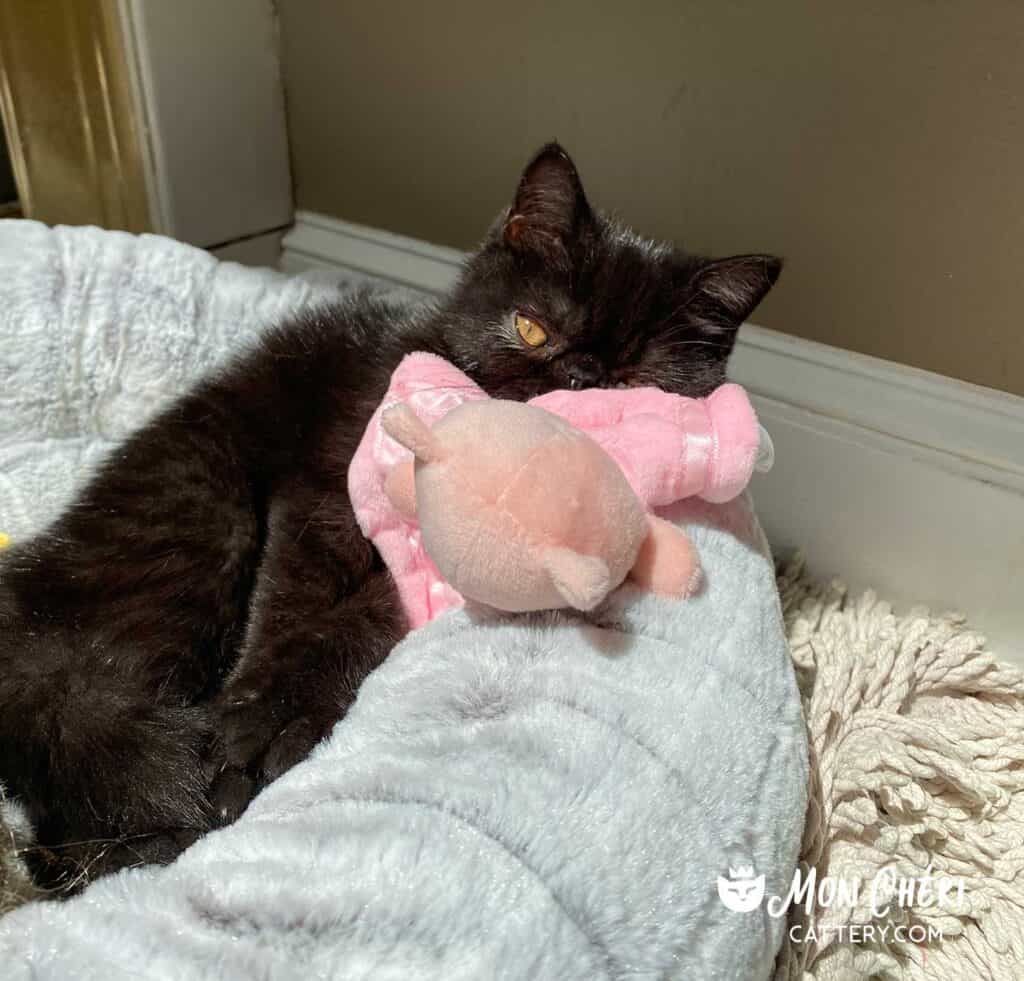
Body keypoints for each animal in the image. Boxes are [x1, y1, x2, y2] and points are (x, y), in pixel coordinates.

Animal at [0, 144, 774, 892]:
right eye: (531, 328)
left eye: (632, 381)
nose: (577, 378)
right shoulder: (321, 488)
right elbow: (288, 598)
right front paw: (245, 727)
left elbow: (368, 612)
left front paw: (274, 721)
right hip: (199, 518)